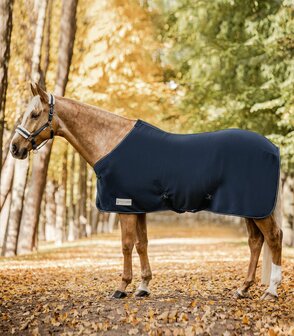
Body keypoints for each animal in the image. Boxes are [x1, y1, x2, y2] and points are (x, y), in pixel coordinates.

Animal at [9, 83, 282, 300]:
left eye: (34, 114)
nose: (14, 148)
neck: (111, 142)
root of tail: (273, 148)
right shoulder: (138, 206)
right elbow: (142, 244)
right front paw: (143, 286)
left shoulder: (124, 206)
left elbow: (126, 245)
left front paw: (122, 287)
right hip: (250, 209)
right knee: (256, 242)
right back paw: (243, 289)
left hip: (257, 209)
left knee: (274, 238)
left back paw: (271, 291)